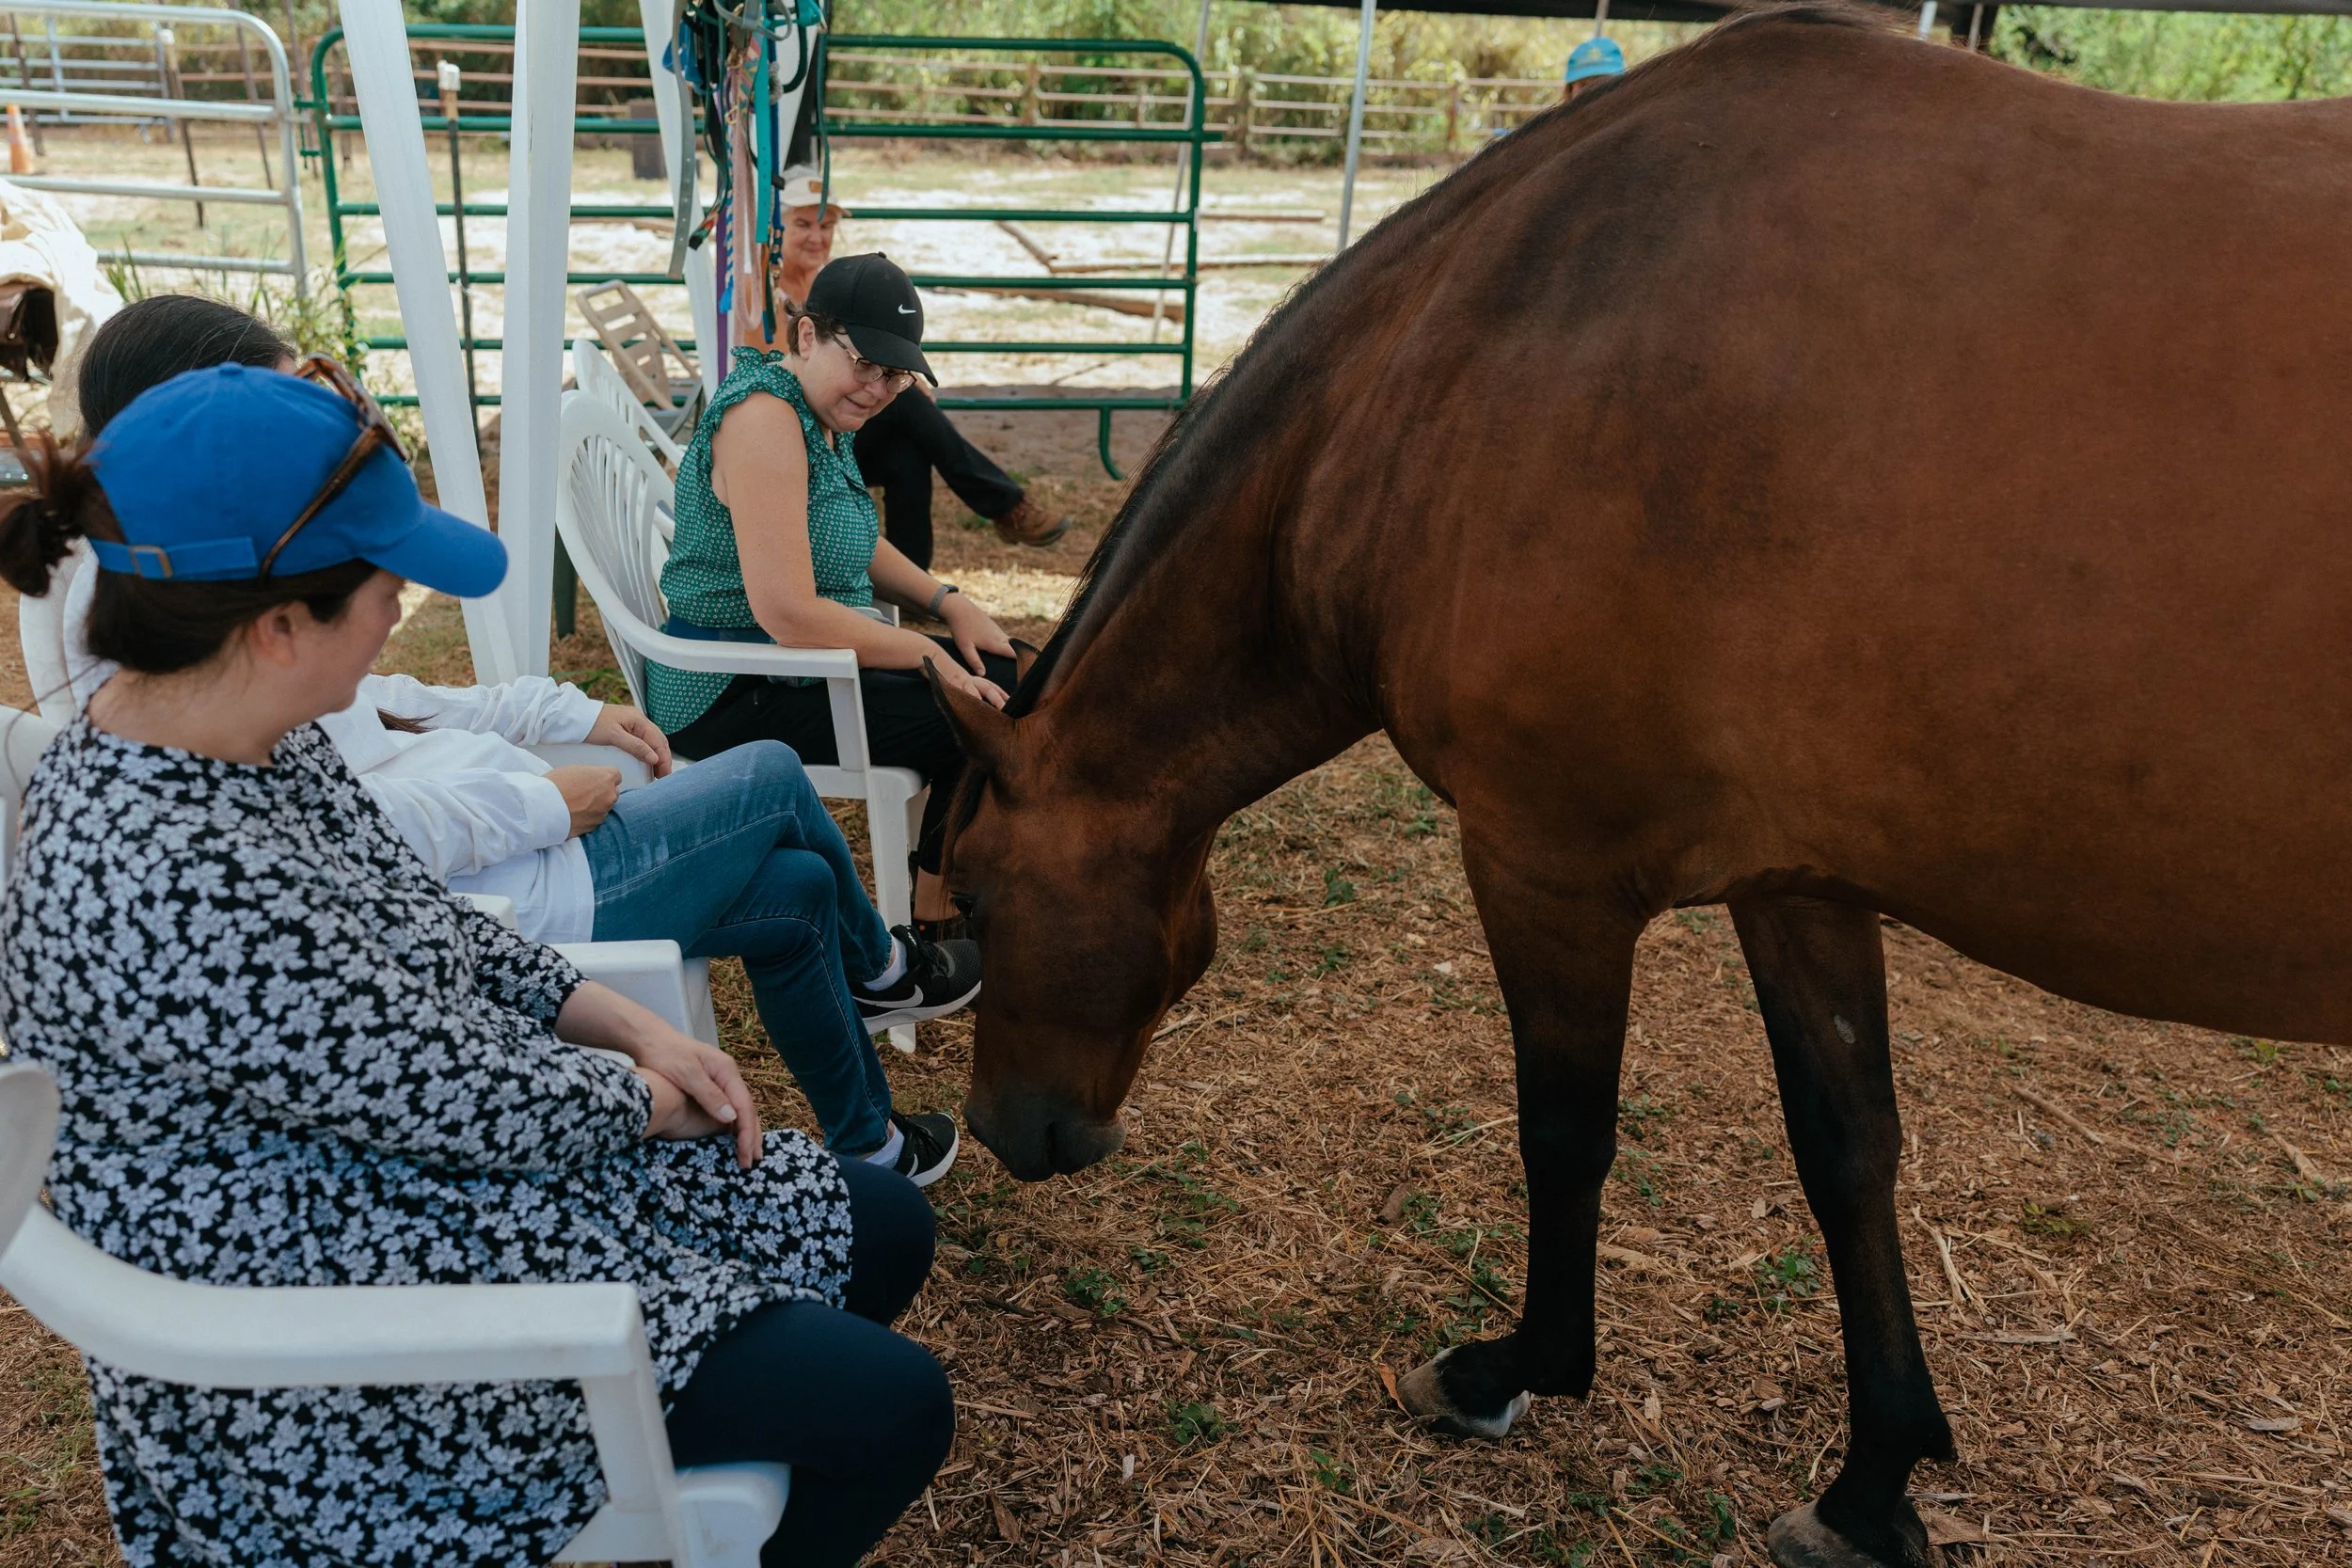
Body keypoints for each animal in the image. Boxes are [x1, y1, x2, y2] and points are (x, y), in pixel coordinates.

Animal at [928, 8, 2352, 1566]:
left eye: (977, 896)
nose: (1007, 1130)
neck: (1455, 371)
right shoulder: (1801, 880)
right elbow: (1849, 1150)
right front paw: (1873, 1479)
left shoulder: (1544, 865)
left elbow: (1566, 1128)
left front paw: (1510, 1367)